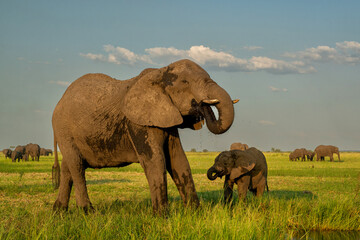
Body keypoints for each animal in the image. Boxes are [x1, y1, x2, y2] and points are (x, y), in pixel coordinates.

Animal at [50, 59, 236, 213]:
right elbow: (156, 160)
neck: (159, 72)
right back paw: (88, 212)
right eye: (185, 82)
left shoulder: (167, 119)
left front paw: (195, 214)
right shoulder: (138, 123)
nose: (201, 106)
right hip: (63, 129)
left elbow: (178, 160)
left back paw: (59, 212)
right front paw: (162, 217)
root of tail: (60, 100)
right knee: (76, 166)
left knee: (68, 167)